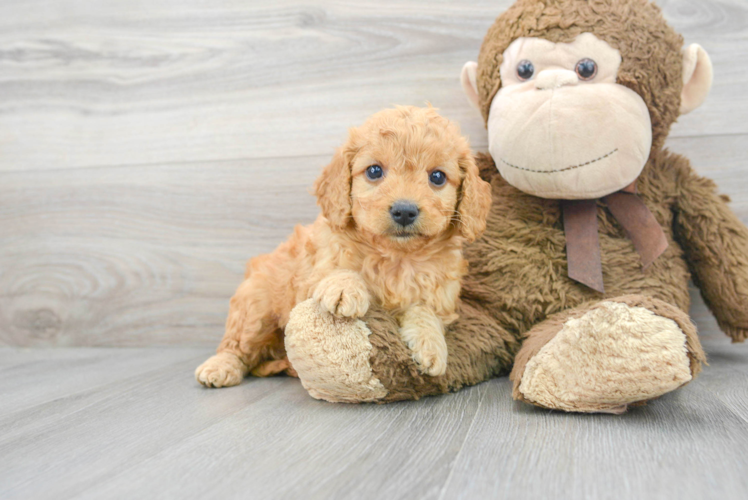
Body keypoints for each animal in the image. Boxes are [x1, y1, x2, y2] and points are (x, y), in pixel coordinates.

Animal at [196, 104, 494, 386]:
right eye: (374, 171)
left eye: (438, 177)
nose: (404, 211)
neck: (396, 257)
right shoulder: (312, 272)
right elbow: (338, 269)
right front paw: (344, 288)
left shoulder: (440, 298)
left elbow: (424, 311)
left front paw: (430, 345)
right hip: (255, 308)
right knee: (237, 345)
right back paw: (220, 367)